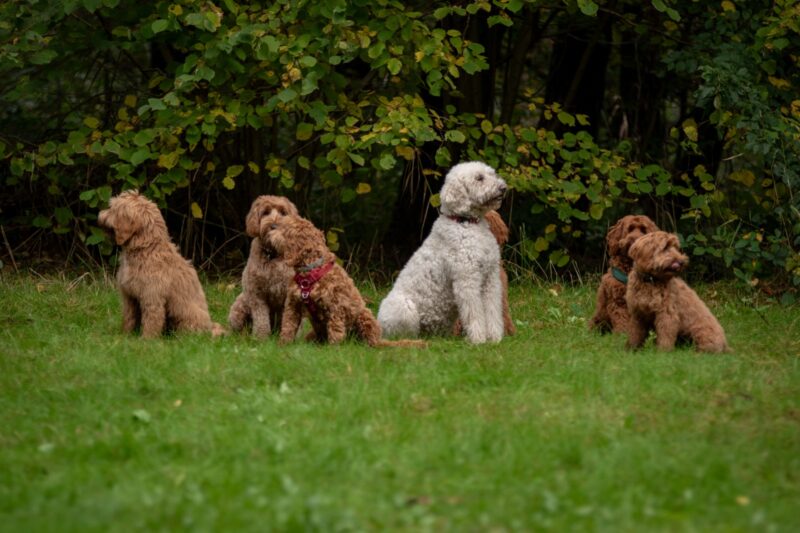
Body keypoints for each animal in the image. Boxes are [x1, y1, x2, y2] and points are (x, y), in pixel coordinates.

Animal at [100, 191, 227, 336]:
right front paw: (125, 335)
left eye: (112, 208)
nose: (100, 215)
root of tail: (209, 328)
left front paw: (147, 338)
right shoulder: (129, 297)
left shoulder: (152, 297)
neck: (146, 248)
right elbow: (128, 318)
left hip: (184, 313)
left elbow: (152, 321)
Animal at [266, 214, 428, 348]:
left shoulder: (335, 307)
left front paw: (333, 349)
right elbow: (287, 327)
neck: (311, 273)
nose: (271, 226)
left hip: (365, 317)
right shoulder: (292, 306)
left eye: (284, 226)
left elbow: (336, 329)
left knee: (370, 342)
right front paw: (283, 345)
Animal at [376, 162, 506, 342]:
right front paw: (478, 339)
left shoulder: (490, 279)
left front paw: (495, 338)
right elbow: (474, 313)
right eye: (479, 178)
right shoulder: (467, 281)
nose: (503, 188)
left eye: (491, 174)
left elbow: (493, 310)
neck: (466, 223)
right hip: (404, 307)